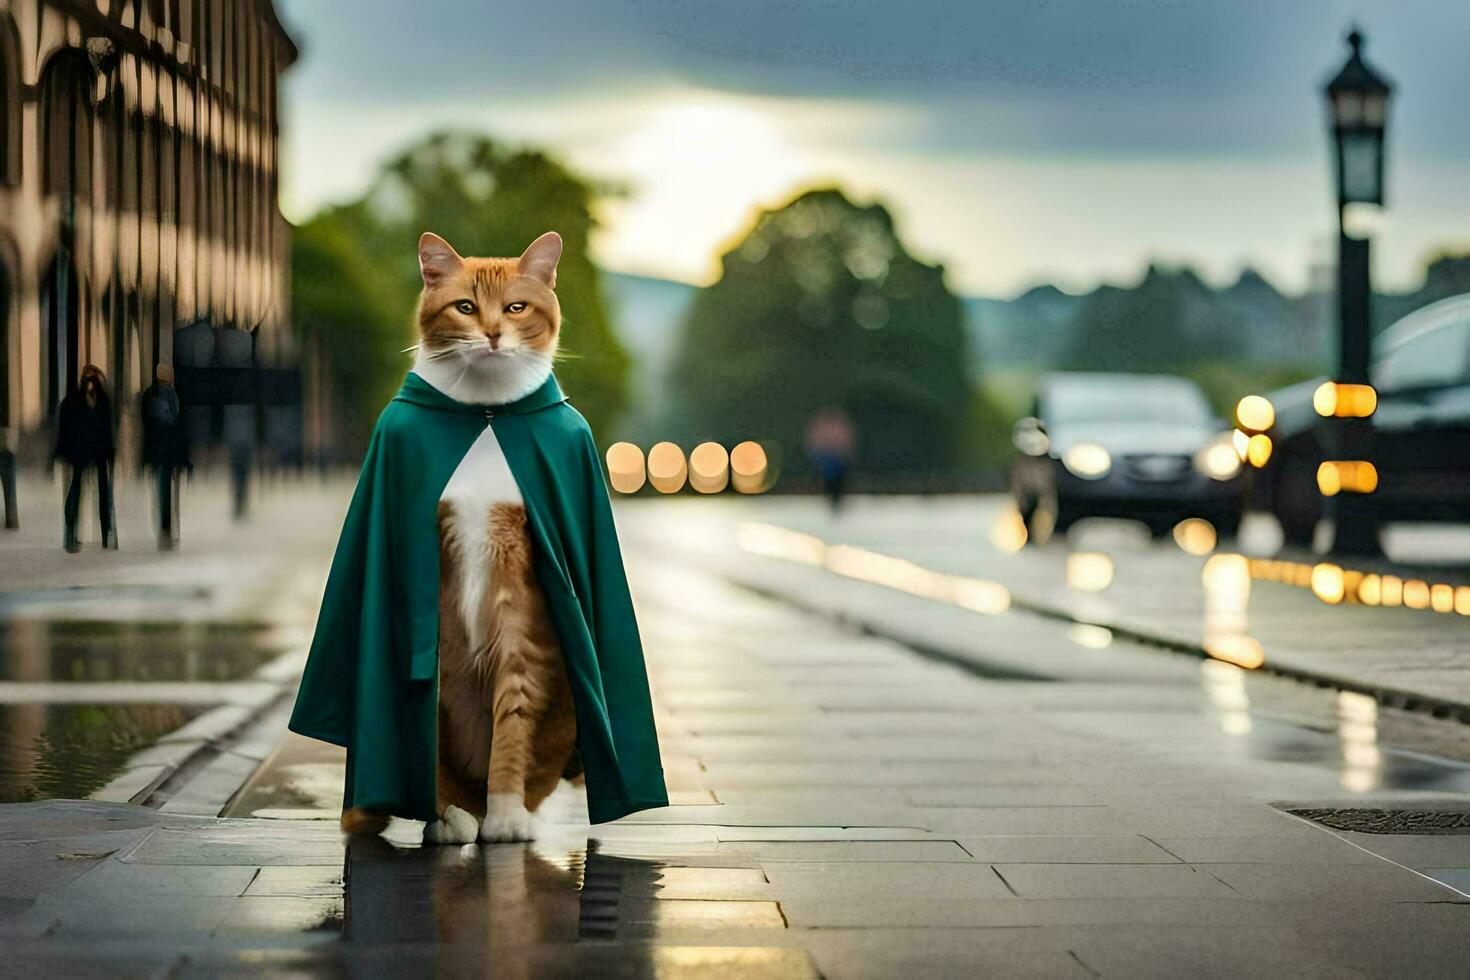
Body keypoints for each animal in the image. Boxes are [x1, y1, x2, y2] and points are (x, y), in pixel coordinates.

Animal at [339, 230, 579, 846]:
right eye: (465, 307)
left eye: (515, 307)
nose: (492, 333)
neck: (486, 413)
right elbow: (426, 738)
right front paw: (446, 815)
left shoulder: (521, 613)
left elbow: (513, 718)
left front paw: (507, 815)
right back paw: (449, 817)